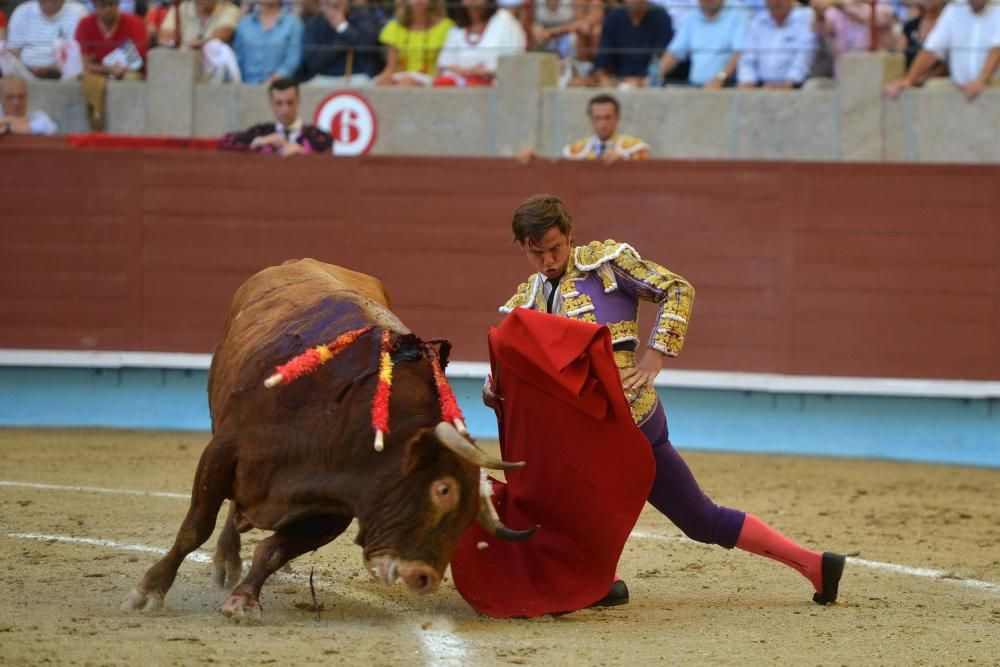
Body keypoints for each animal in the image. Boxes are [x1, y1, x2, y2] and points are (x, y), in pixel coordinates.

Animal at [121, 260, 536, 620]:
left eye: (469, 515)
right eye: (443, 489)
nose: (424, 578)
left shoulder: (332, 510)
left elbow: (273, 551)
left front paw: (244, 600)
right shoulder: (222, 452)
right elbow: (195, 527)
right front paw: (148, 592)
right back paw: (224, 562)